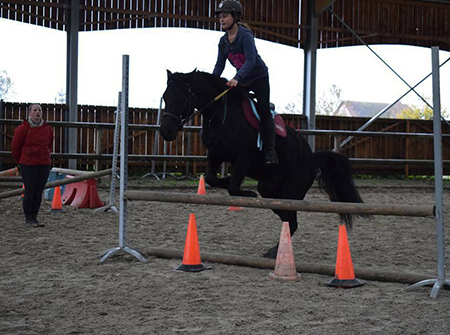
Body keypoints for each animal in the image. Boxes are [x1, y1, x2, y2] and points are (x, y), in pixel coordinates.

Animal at [160, 69, 364, 260]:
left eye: (181, 98)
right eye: (165, 97)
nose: (166, 132)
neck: (221, 115)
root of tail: (312, 158)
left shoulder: (243, 157)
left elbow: (233, 187)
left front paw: (246, 193)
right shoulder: (215, 154)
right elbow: (211, 178)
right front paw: (227, 180)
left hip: (293, 190)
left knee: (291, 220)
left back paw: (276, 252)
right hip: (269, 189)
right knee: (286, 217)